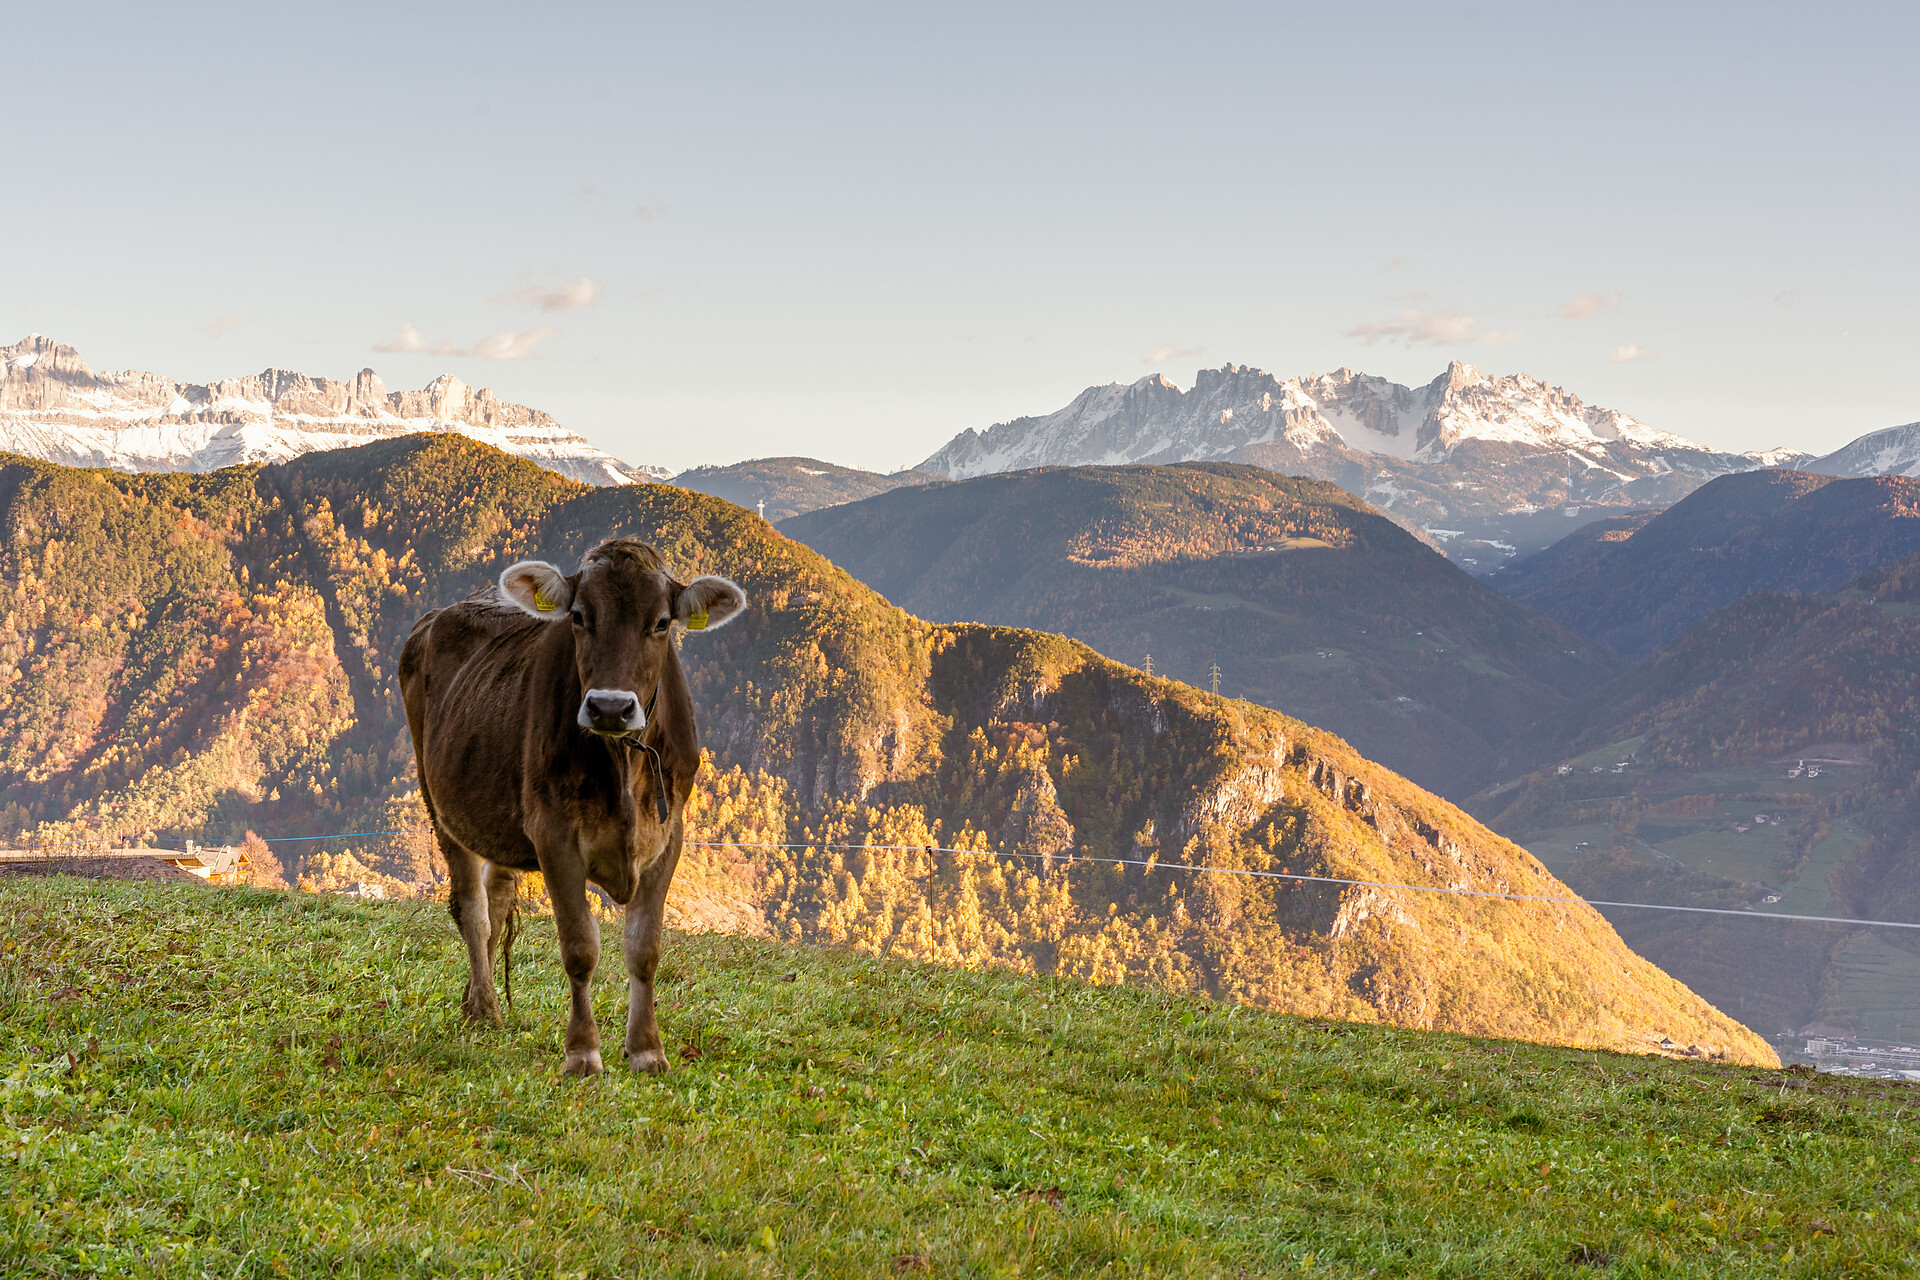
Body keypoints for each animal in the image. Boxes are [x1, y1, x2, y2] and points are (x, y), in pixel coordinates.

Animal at [397, 537, 741, 1074]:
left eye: (662, 622)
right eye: (579, 616)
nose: (610, 707)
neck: (622, 761)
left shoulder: (669, 835)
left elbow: (645, 947)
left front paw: (647, 1050)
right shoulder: (553, 834)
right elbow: (580, 946)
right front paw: (582, 1053)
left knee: (497, 899)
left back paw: (479, 998)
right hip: (438, 797)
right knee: (471, 907)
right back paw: (484, 1007)